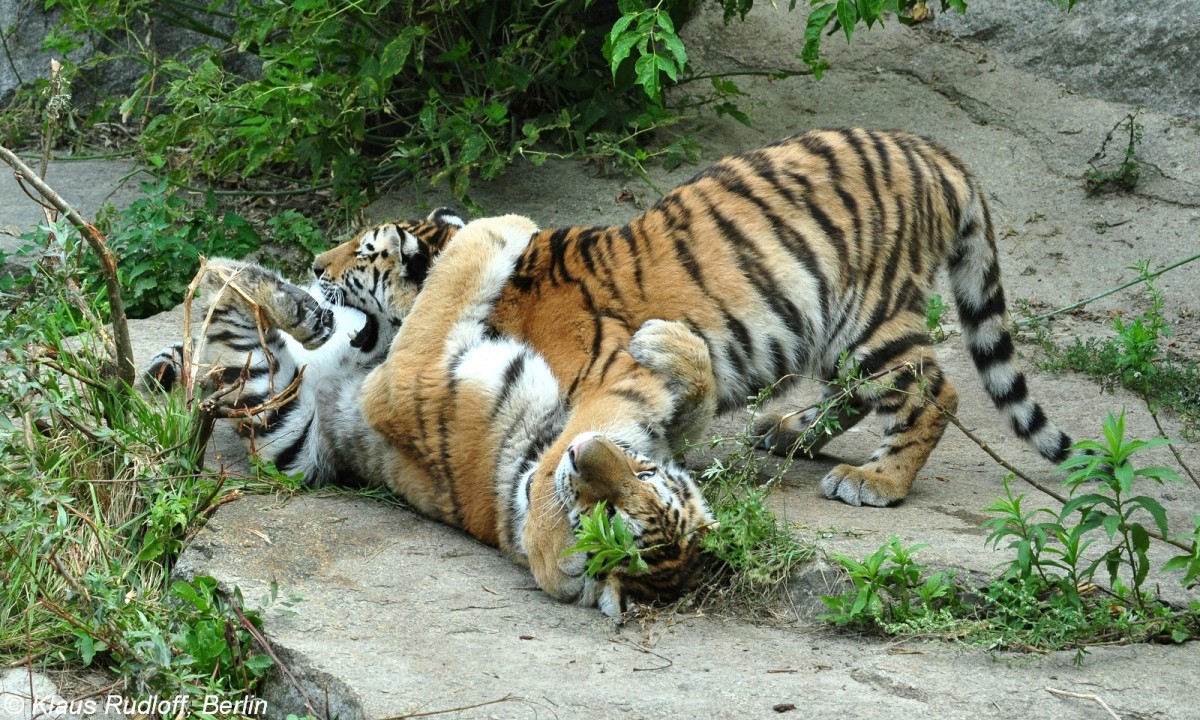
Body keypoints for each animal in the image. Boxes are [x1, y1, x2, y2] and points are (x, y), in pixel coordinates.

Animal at [314, 129, 1075, 542]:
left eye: (363, 253)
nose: (314, 264)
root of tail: (937, 153)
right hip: (837, 328)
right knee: (855, 393)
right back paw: (787, 434)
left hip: (870, 313)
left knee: (932, 390)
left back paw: (876, 481)